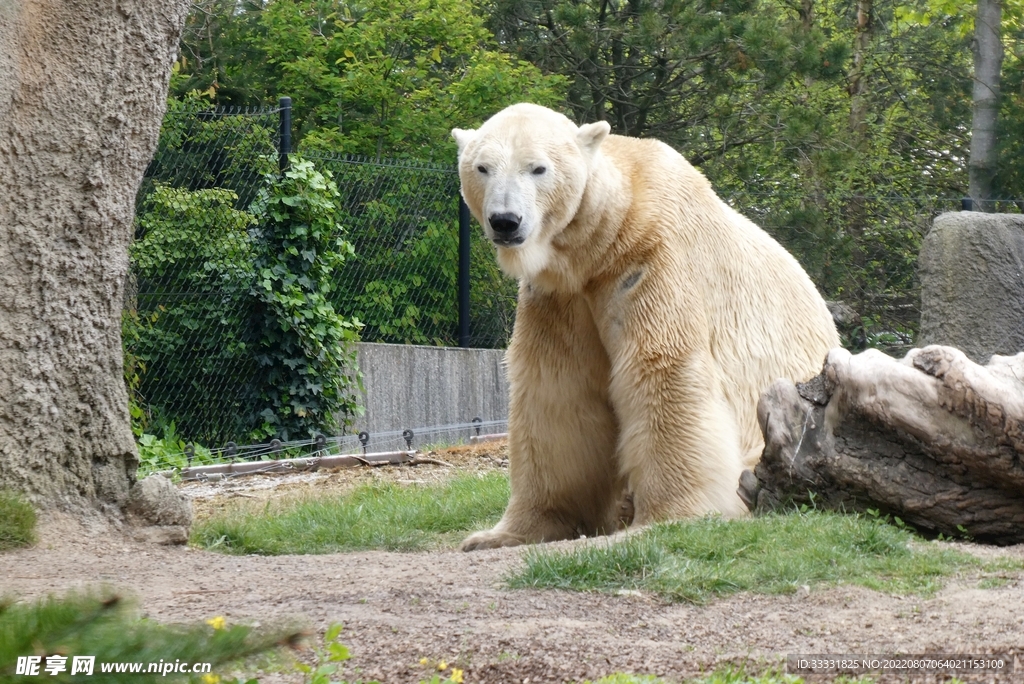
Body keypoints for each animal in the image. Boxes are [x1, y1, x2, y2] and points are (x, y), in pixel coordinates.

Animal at [452, 102, 835, 548]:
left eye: (538, 168)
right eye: (482, 167)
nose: (506, 221)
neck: (600, 243)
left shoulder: (650, 258)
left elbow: (663, 367)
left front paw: (670, 515)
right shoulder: (561, 295)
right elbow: (557, 390)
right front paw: (502, 534)